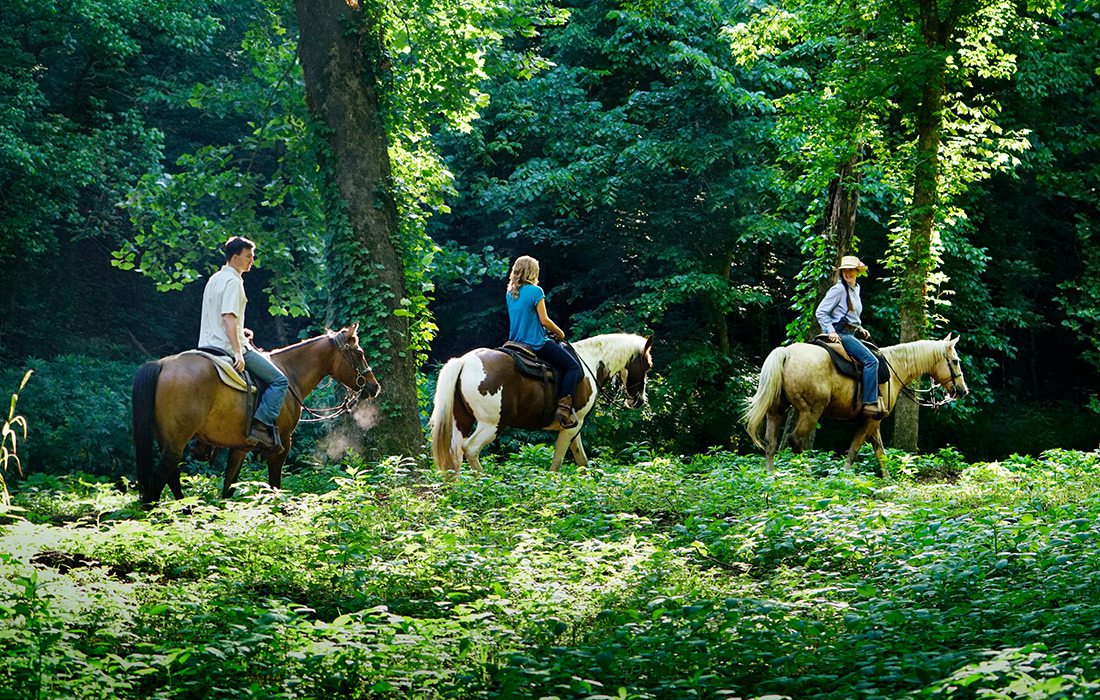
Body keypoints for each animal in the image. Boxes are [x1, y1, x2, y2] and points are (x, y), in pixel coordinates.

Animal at [130, 323, 380, 504]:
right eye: (359, 353)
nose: (374, 386)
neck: (289, 373)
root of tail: (160, 365)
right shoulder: (282, 445)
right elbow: (275, 486)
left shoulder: (240, 448)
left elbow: (228, 486)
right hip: (175, 443)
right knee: (158, 483)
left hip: (168, 442)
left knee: (171, 478)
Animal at [429, 332, 651, 475]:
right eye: (648, 365)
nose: (638, 400)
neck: (589, 362)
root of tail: (465, 361)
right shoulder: (572, 427)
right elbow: (557, 463)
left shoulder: (574, 426)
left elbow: (582, 460)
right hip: (492, 424)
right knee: (471, 449)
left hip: (461, 421)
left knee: (455, 453)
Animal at [743, 334, 968, 475]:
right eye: (956, 361)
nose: (963, 390)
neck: (894, 368)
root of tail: (786, 353)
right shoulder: (870, 420)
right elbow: (854, 449)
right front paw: (845, 477)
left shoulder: (874, 422)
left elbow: (880, 453)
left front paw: (888, 481)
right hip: (811, 411)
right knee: (795, 440)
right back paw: (807, 473)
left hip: (776, 410)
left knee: (771, 444)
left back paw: (772, 477)